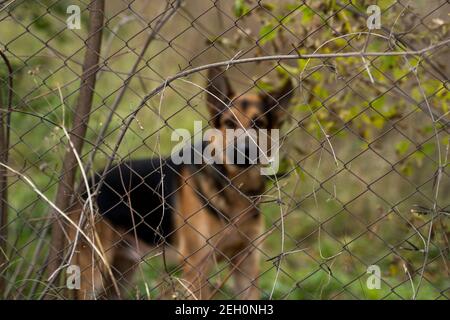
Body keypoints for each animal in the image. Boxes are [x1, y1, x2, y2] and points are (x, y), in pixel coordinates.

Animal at [66, 67, 292, 300]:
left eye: (259, 124)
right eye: (229, 124)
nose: (244, 152)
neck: (235, 186)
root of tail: (85, 185)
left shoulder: (246, 266)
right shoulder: (197, 267)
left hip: (119, 274)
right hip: (93, 275)